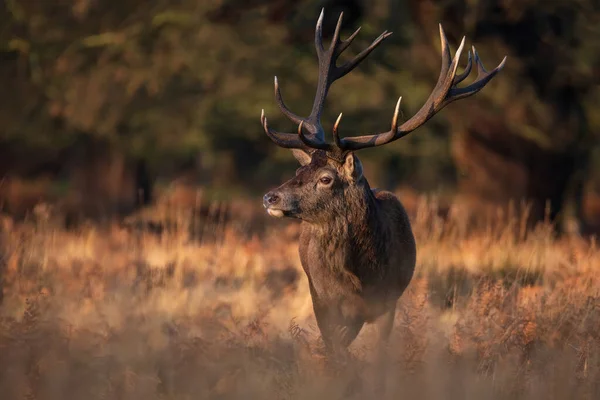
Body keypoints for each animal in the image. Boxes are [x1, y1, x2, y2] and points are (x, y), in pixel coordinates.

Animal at [260, 9, 504, 360]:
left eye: (326, 178)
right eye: (299, 168)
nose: (271, 197)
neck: (361, 275)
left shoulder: (389, 300)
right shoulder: (324, 302)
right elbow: (334, 351)